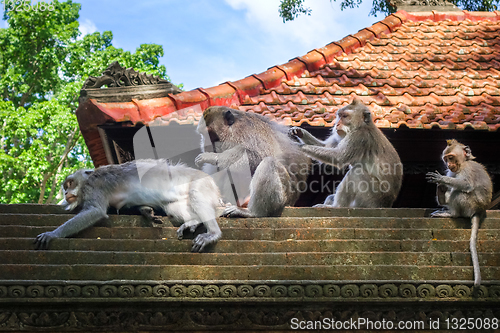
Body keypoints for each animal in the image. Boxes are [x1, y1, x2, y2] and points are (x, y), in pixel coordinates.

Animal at [34, 159, 222, 252]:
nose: (66, 193)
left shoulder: (94, 187)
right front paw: (146, 211)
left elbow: (95, 211)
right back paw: (194, 221)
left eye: (70, 183)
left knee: (196, 194)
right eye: (65, 187)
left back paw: (213, 233)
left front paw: (53, 234)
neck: (87, 180)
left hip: (202, 182)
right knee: (173, 207)